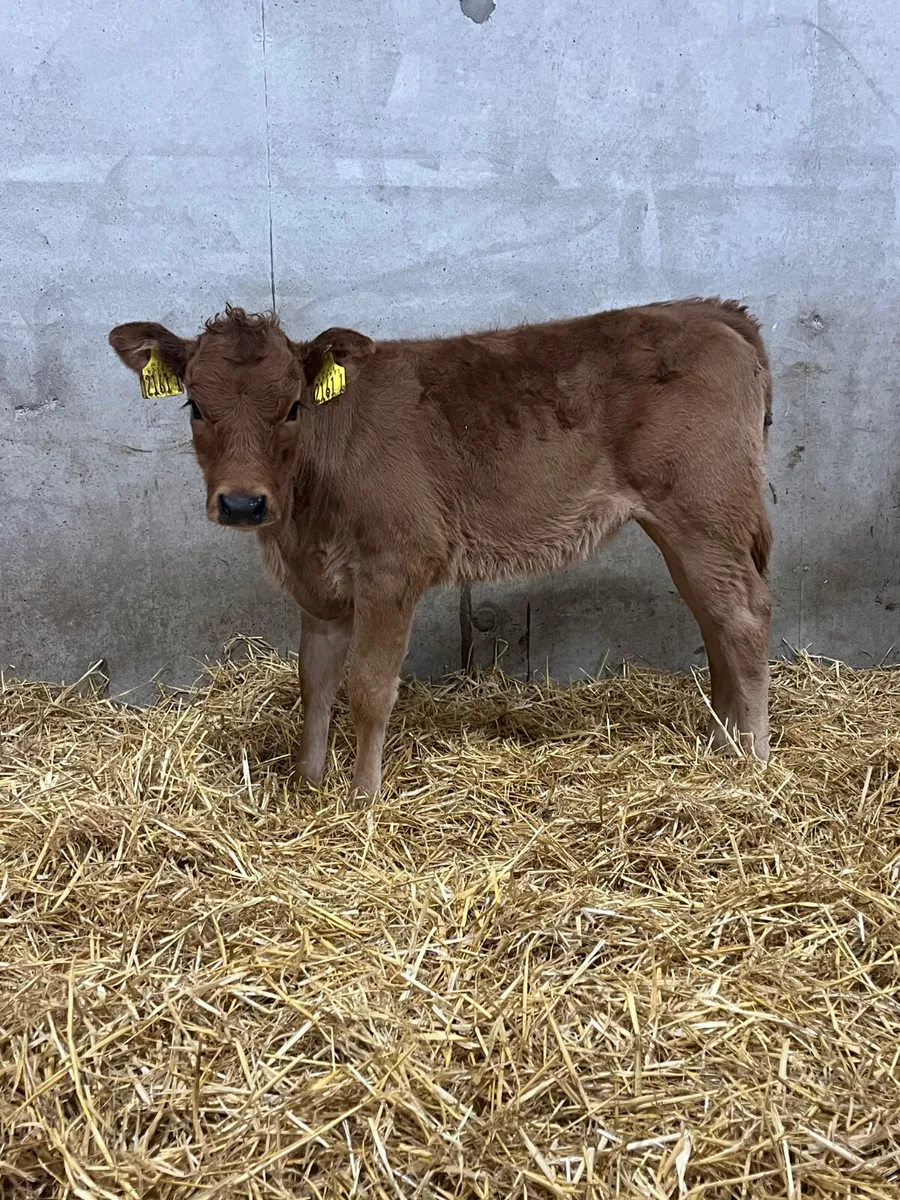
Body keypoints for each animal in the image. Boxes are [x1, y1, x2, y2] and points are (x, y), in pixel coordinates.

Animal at [109, 298, 773, 803]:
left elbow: (369, 687)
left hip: (704, 509)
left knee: (745, 616)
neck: (300, 525)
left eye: (293, 406)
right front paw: (307, 786)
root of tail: (709, 310)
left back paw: (755, 760)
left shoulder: (393, 567)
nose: (243, 504)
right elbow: (314, 683)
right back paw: (721, 745)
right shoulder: (320, 588)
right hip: (686, 524)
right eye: (195, 405)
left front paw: (363, 798)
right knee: (713, 618)